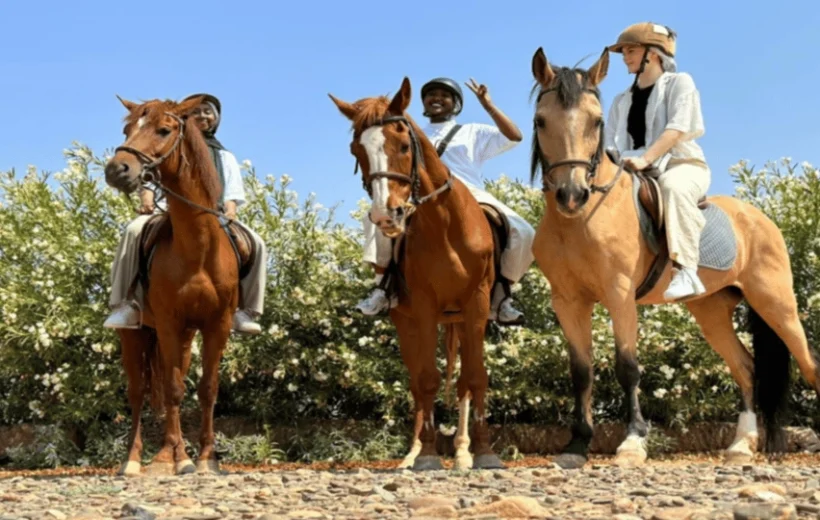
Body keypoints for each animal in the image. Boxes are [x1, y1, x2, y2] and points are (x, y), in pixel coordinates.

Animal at [100, 95, 247, 478]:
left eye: (164, 130)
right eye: (127, 130)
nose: (116, 170)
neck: (197, 248)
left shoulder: (216, 326)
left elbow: (207, 389)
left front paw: (207, 458)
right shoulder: (167, 323)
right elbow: (173, 389)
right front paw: (173, 457)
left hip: (184, 337)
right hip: (136, 334)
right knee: (139, 391)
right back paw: (136, 459)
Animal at [326, 78, 506, 472]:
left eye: (405, 145)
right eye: (356, 150)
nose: (386, 216)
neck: (444, 224)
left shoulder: (476, 304)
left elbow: (475, 376)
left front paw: (484, 452)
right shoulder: (423, 306)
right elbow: (426, 379)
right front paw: (425, 455)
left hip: (460, 319)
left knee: (462, 383)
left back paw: (463, 450)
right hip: (407, 319)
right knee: (415, 382)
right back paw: (414, 452)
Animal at [524, 48, 820, 470]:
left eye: (596, 122)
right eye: (540, 120)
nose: (571, 194)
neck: (581, 220)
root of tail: (762, 219)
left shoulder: (619, 296)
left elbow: (627, 367)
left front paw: (633, 441)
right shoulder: (567, 301)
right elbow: (581, 371)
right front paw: (577, 444)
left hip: (776, 303)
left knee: (809, 362)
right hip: (711, 312)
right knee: (746, 368)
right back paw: (741, 445)